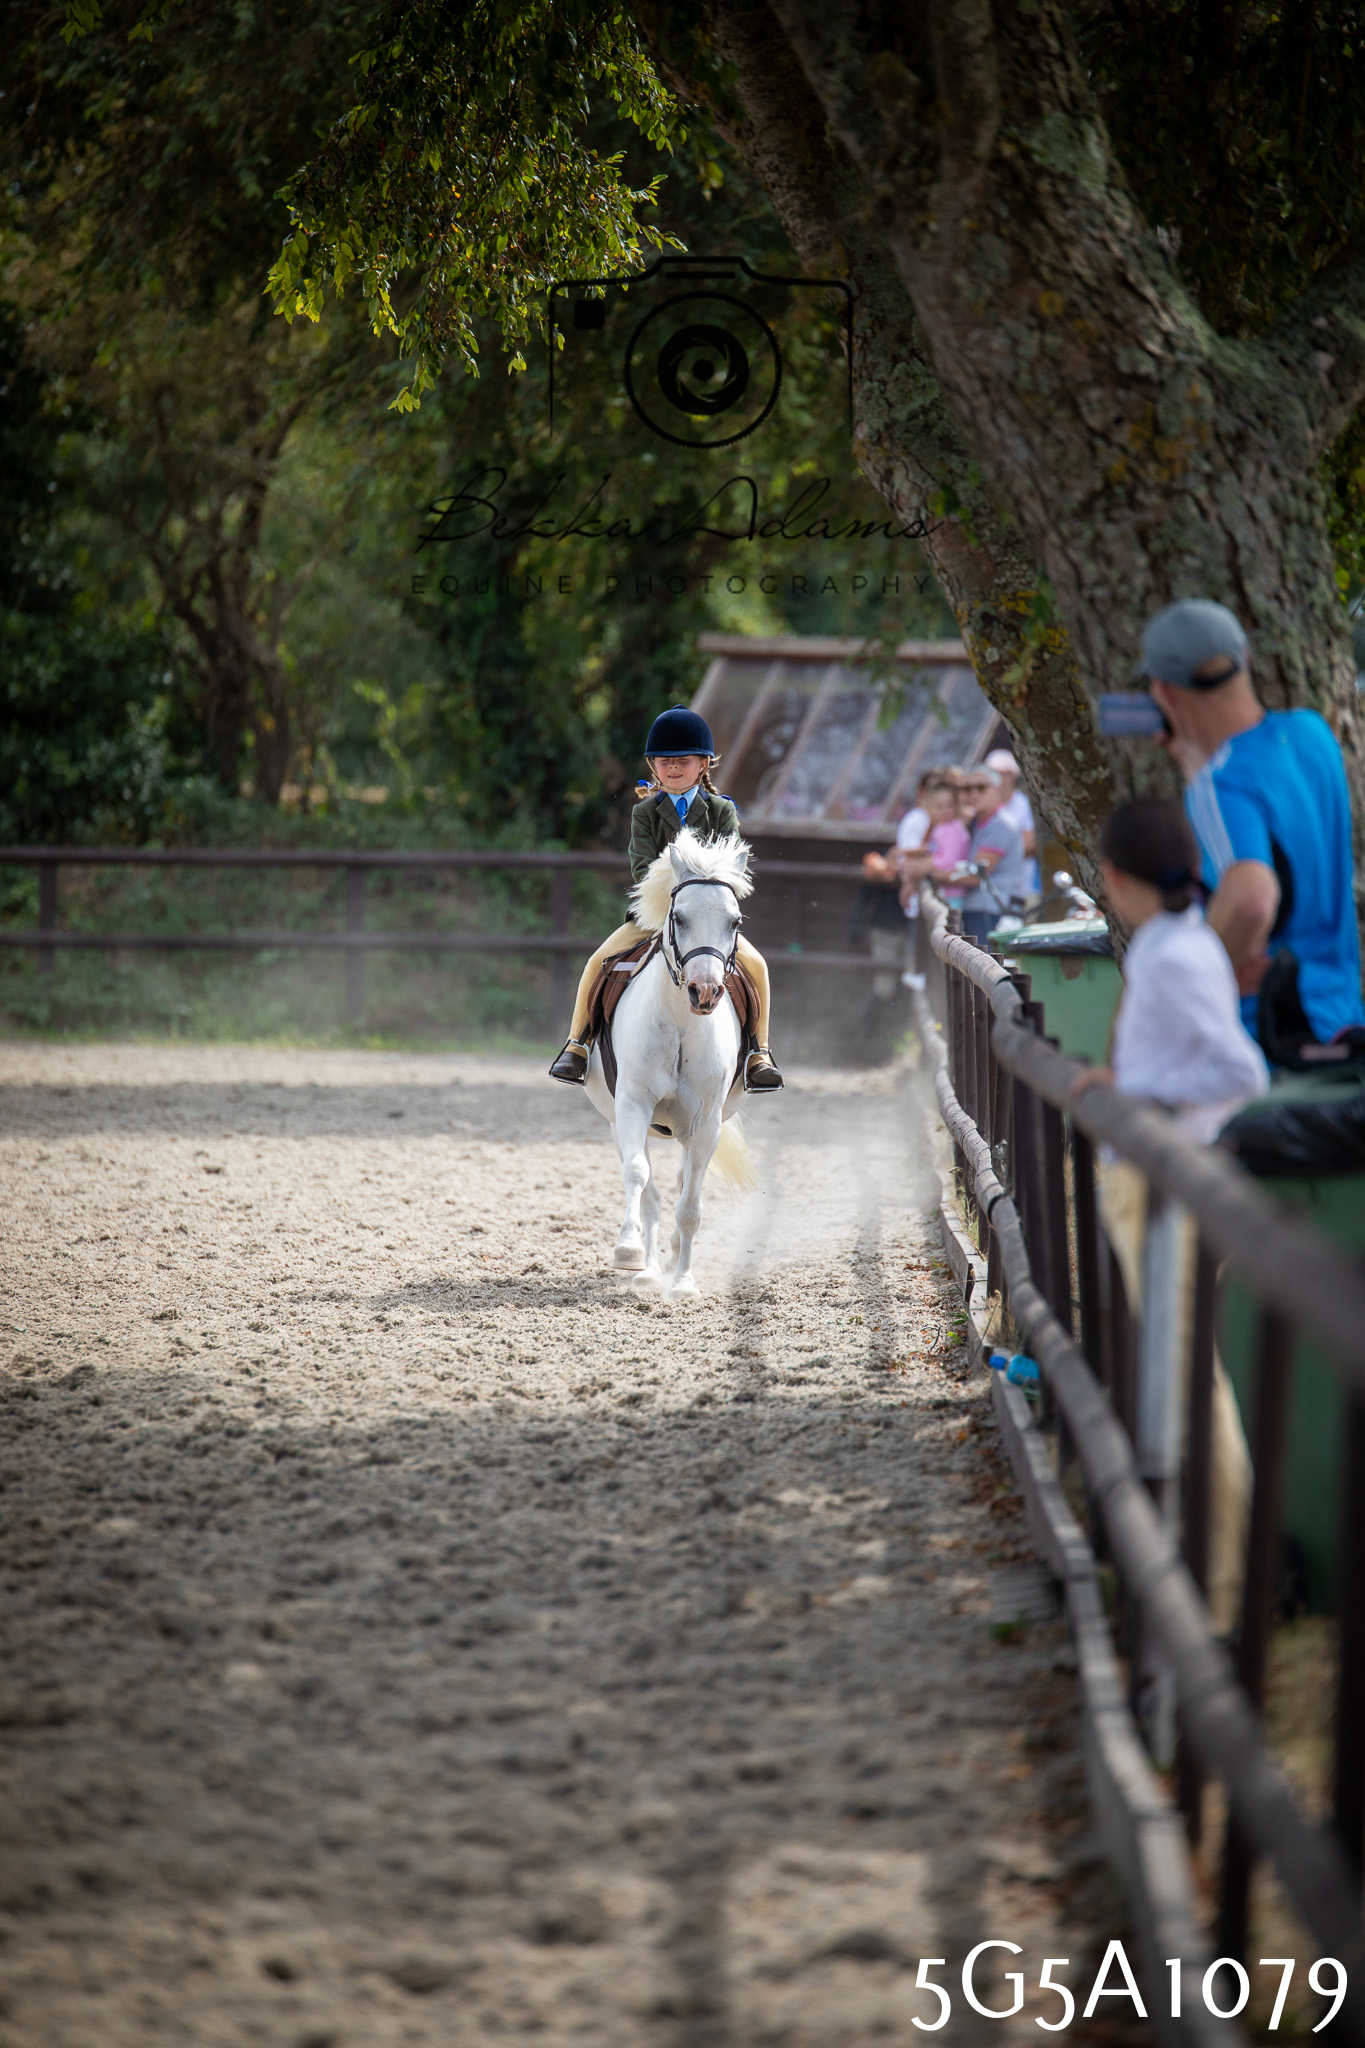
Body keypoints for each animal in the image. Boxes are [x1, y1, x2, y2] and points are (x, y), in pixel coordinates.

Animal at [583, 829, 757, 1295]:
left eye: (735, 922)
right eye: (678, 917)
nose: (705, 991)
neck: (682, 1023)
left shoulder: (706, 1123)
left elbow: (691, 1206)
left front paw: (684, 1282)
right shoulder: (632, 1105)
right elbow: (637, 1175)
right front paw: (628, 1251)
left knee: (681, 1188)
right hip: (619, 1118)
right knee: (649, 1188)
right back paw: (646, 1268)